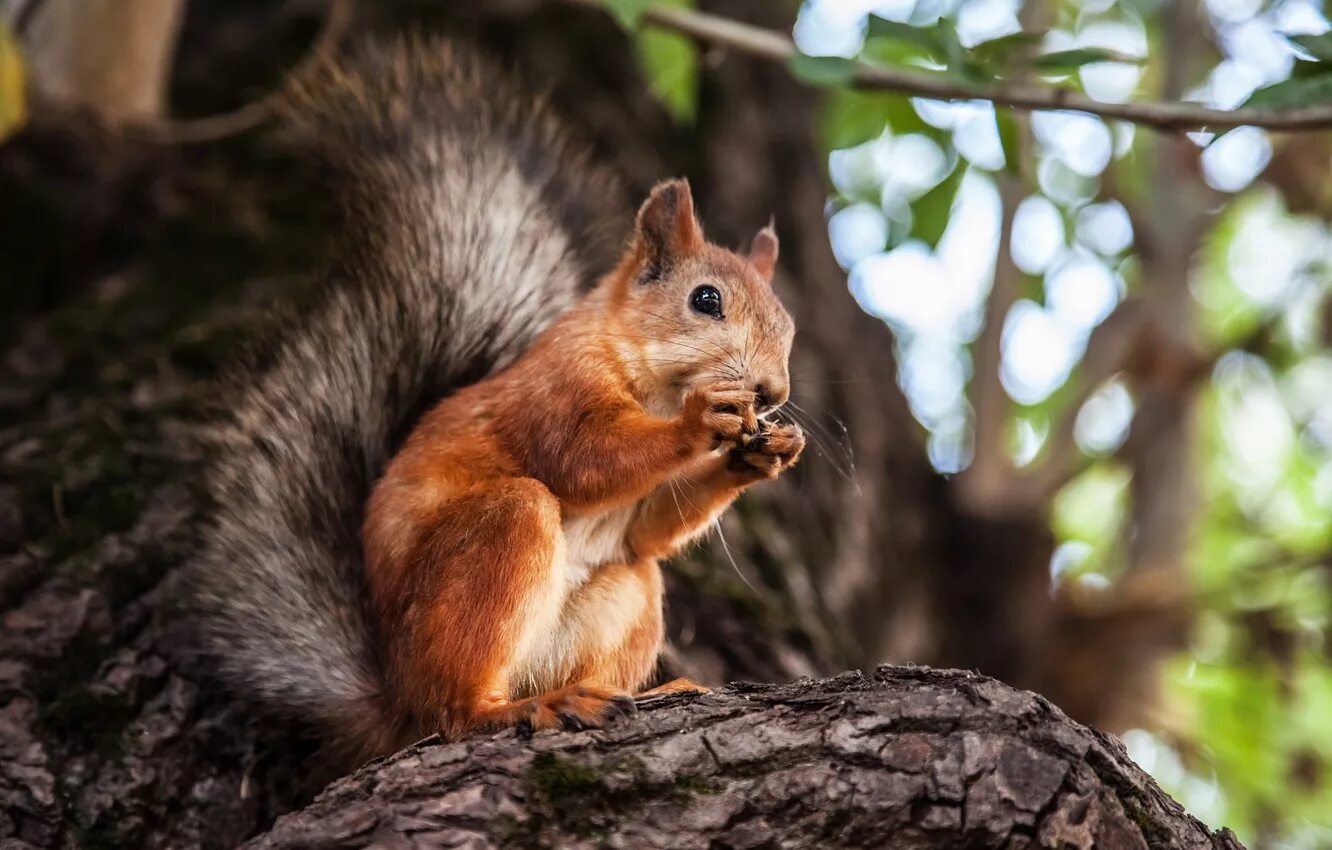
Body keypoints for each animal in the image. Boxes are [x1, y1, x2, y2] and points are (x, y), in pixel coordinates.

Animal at [190, 38, 799, 767]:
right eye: (705, 299)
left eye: (789, 326)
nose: (773, 392)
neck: (648, 381)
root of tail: (396, 698)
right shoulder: (553, 389)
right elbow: (584, 459)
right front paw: (700, 419)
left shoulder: (642, 512)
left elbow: (650, 526)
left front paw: (764, 453)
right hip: (494, 542)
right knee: (456, 706)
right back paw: (518, 706)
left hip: (628, 593)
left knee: (632, 578)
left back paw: (639, 691)